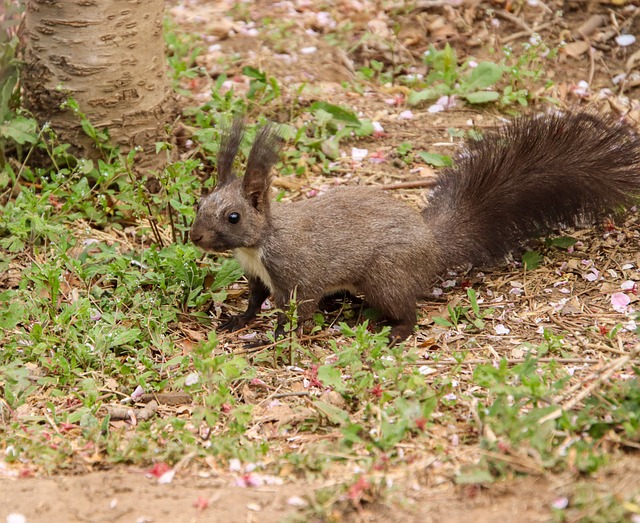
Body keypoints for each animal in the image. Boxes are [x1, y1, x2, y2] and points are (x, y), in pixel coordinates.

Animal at [190, 113, 640, 344]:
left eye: (233, 217)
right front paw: (238, 321)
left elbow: (296, 314)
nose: (194, 237)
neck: (260, 243)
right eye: (199, 203)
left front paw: (273, 337)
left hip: (385, 275)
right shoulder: (258, 276)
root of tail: (432, 244)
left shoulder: (296, 277)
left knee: (410, 310)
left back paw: (397, 329)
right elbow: (254, 302)